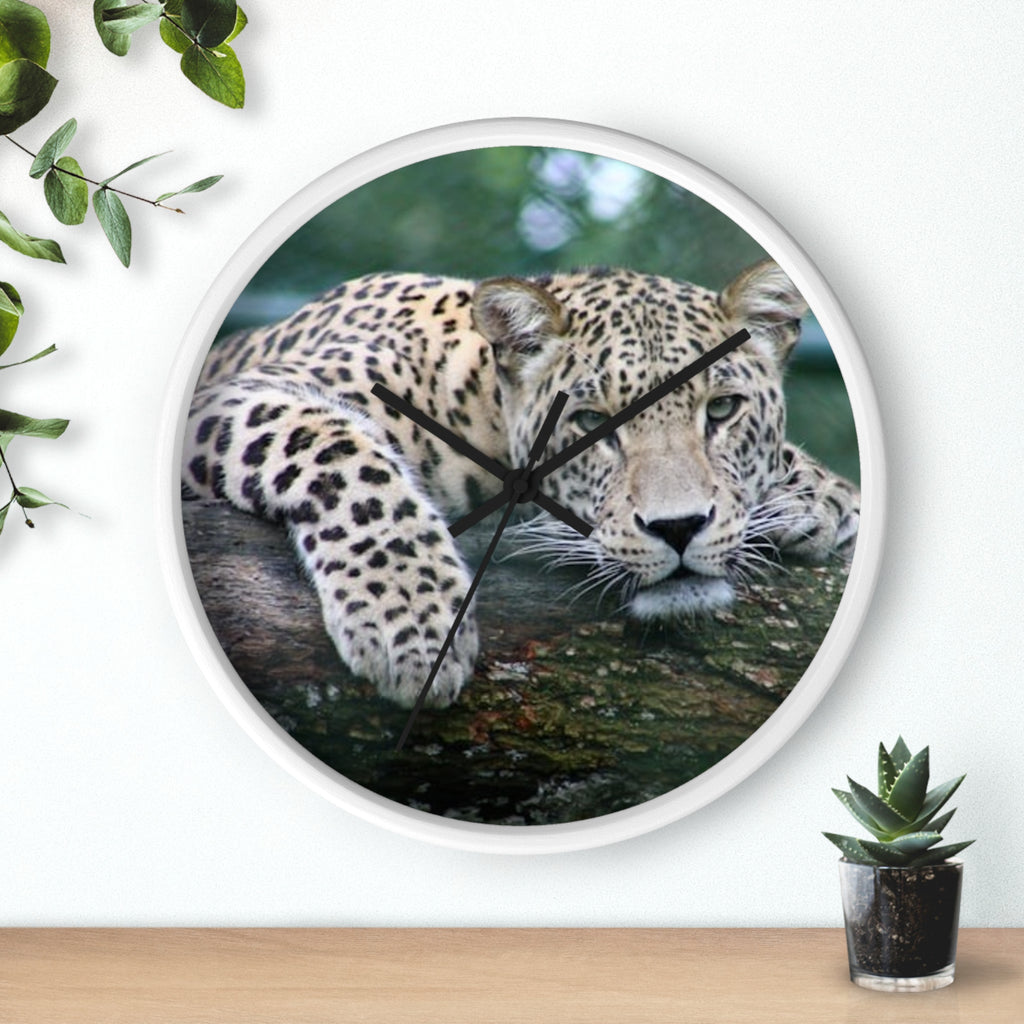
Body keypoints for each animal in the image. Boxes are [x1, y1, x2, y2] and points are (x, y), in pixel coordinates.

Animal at [183, 260, 859, 710]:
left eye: (721, 410)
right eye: (590, 423)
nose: (678, 528)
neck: (478, 405)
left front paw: (819, 497)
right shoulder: (238, 398)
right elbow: (345, 456)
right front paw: (413, 623)